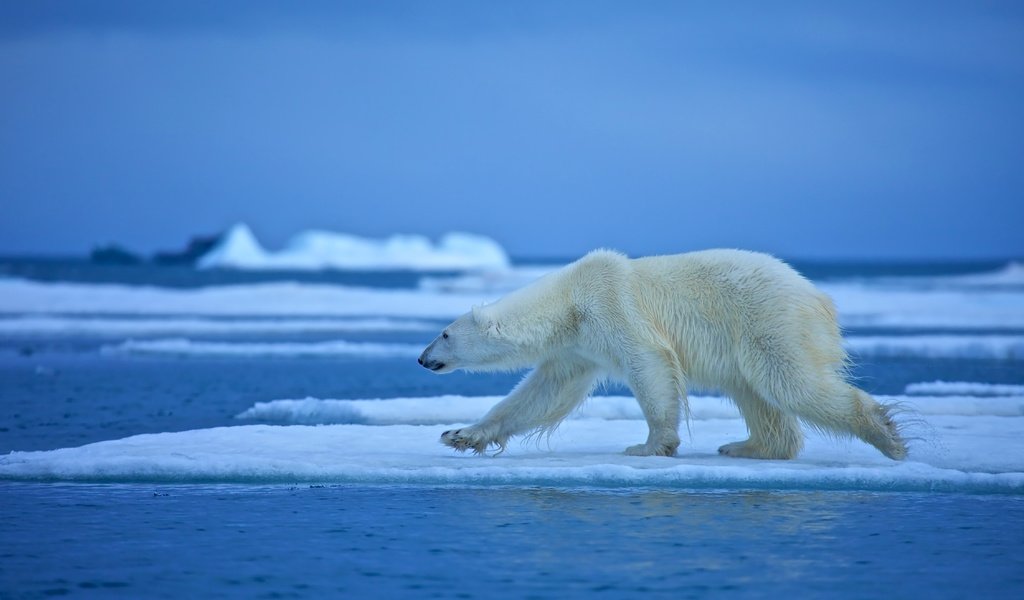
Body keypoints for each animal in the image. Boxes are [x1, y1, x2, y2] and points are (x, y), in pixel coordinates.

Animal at [415, 247, 905, 458]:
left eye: (443, 333)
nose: (421, 358)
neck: (568, 301)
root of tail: (820, 298)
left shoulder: (611, 305)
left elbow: (648, 364)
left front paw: (650, 445)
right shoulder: (578, 346)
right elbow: (543, 393)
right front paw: (461, 435)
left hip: (769, 321)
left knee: (789, 382)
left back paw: (887, 435)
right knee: (755, 393)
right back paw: (745, 446)